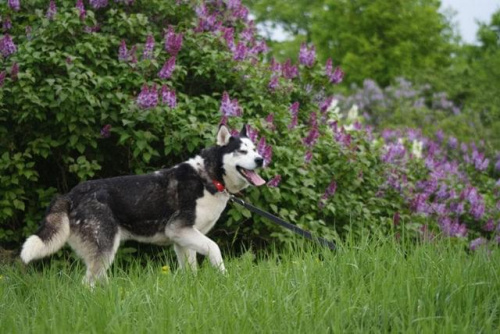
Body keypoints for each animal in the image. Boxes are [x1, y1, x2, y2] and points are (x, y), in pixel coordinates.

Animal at [20, 124, 266, 284]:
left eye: (254, 149)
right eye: (242, 151)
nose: (261, 159)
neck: (208, 176)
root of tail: (71, 194)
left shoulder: (182, 239)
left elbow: (191, 270)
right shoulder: (179, 229)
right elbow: (215, 249)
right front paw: (224, 277)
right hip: (105, 248)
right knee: (87, 284)